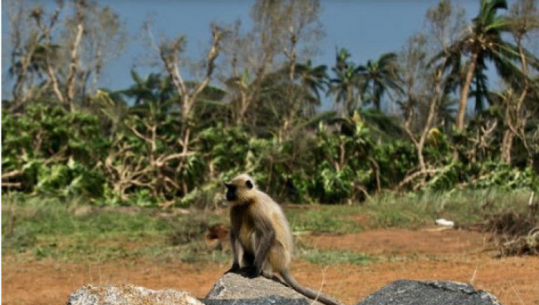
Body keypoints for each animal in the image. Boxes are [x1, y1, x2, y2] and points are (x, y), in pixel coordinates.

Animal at [223, 173, 342, 304]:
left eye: (232, 189)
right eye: (228, 188)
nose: (227, 194)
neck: (247, 202)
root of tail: (285, 265)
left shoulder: (258, 206)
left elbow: (268, 232)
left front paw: (255, 270)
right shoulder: (235, 208)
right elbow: (234, 233)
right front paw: (235, 266)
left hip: (278, 255)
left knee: (258, 233)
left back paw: (265, 272)